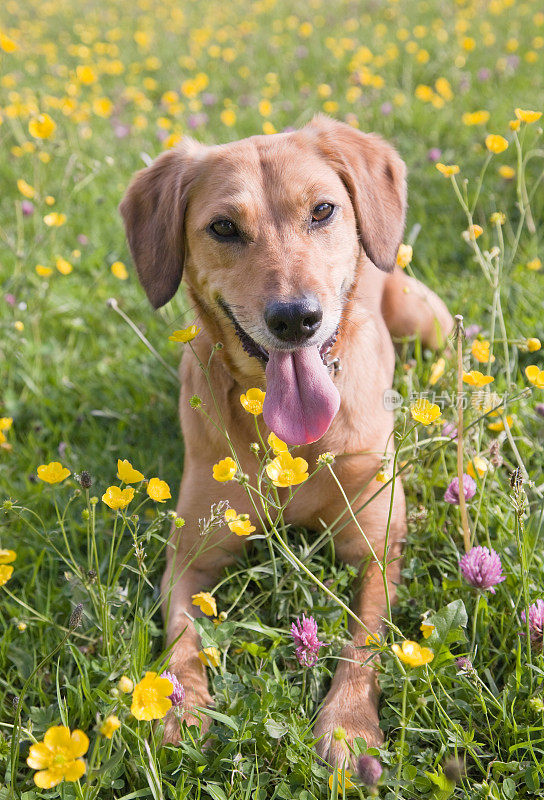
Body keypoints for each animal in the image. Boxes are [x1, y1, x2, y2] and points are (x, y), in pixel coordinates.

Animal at [120, 112, 450, 764]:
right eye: (223, 227)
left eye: (322, 210)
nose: (296, 318)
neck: (291, 442)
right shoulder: (189, 562)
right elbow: (185, 637)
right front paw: (179, 705)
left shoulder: (375, 550)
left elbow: (364, 642)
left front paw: (348, 726)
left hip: (428, 319)